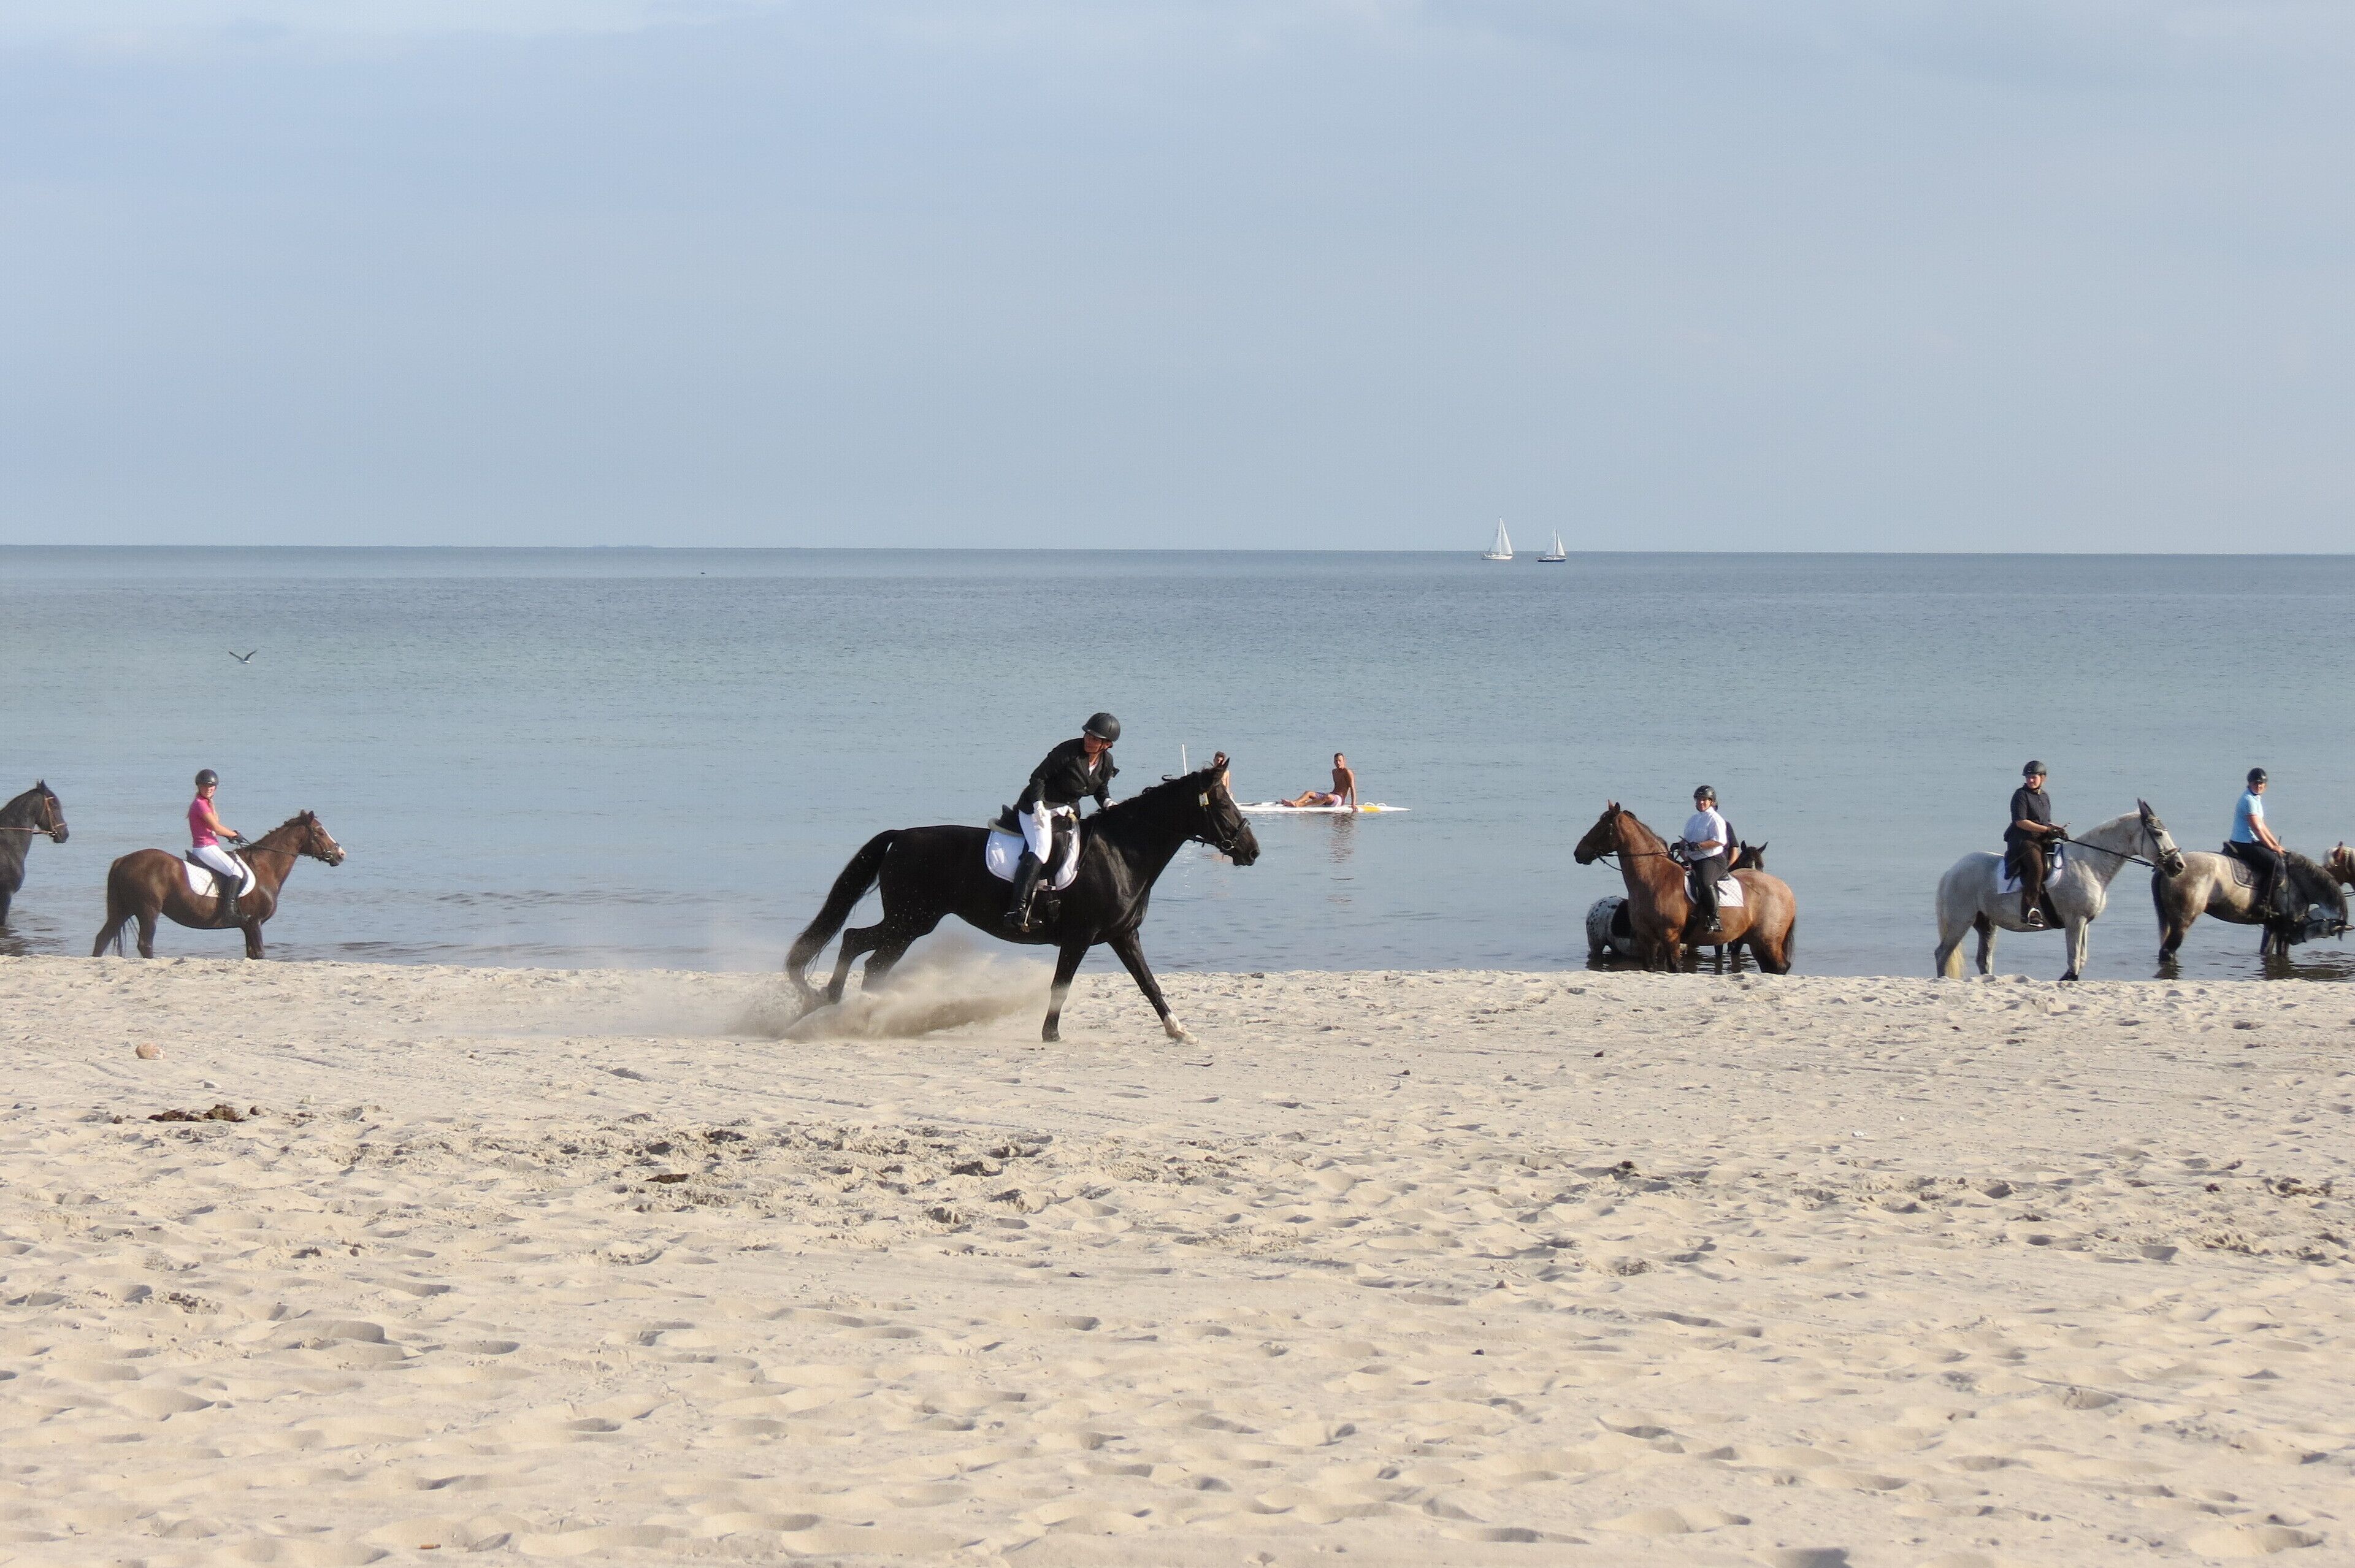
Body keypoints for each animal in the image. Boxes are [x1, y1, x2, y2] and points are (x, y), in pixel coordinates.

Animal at [93, 811, 346, 959]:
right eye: (320, 831)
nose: (341, 854)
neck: (265, 867)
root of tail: (123, 860)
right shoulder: (254, 923)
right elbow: (260, 954)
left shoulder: (248, 928)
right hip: (148, 911)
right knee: (145, 945)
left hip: (123, 910)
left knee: (102, 939)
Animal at [785, 765, 1261, 1043]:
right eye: (1221, 803)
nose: (1252, 851)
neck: (1123, 852)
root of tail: (901, 836)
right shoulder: (1080, 937)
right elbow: (1061, 984)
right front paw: (1051, 1034)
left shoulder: (1124, 935)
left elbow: (1149, 983)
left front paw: (1179, 1030)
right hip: (911, 920)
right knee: (857, 943)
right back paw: (832, 1003)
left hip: (911, 923)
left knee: (869, 956)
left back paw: (853, 1011)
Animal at [1573, 805, 1795, 973]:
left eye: (1603, 826)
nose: (1578, 853)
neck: (1654, 878)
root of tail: (1785, 889)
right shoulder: (1647, 938)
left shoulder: (1670, 937)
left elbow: (1674, 968)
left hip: (1767, 941)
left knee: (1779, 967)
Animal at [1933, 803, 2183, 981]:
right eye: (2158, 834)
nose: (2179, 865)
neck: (2088, 864)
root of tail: (1951, 871)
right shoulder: (2075, 921)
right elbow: (2074, 961)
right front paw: (2067, 978)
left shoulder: (2084, 922)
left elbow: (2081, 959)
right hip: (1960, 922)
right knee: (1942, 954)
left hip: (1986, 924)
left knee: (1983, 960)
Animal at [2153, 846, 2350, 962]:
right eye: (2325, 935)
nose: (2294, 938)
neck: (2298, 883)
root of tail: (2171, 866)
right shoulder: (2283, 929)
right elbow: (2281, 954)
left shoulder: (2272, 927)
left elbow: (2266, 951)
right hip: (2183, 921)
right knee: (2168, 952)